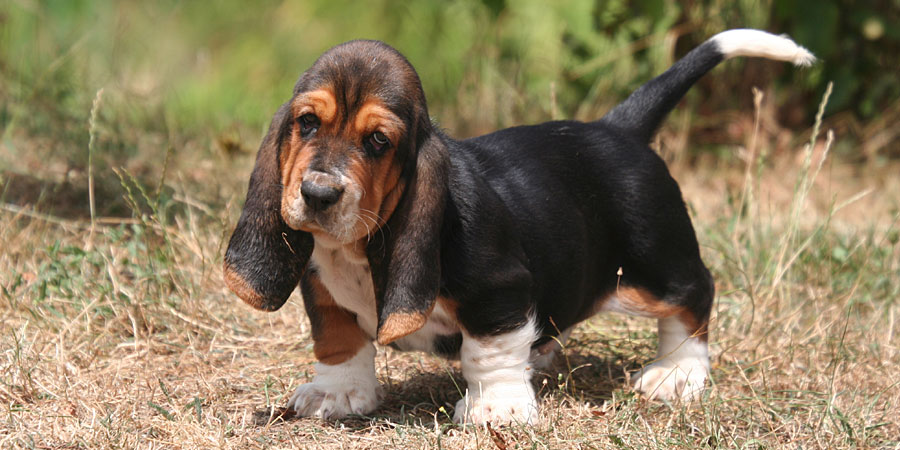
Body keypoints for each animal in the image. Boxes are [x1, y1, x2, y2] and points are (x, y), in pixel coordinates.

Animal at [221, 29, 812, 426]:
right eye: (306, 123)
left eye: (378, 142)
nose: (318, 194)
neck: (359, 246)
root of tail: (617, 129)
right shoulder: (321, 286)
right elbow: (338, 338)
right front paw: (338, 394)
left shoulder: (499, 290)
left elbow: (488, 349)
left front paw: (496, 409)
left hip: (652, 268)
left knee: (694, 296)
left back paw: (676, 373)